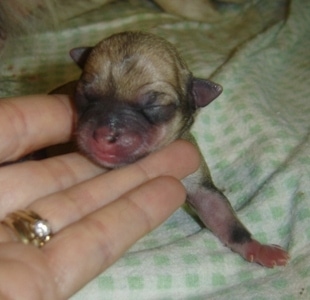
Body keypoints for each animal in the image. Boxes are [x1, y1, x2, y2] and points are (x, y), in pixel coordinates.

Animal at [52, 31, 288, 268]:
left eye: (154, 106)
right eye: (85, 95)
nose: (103, 134)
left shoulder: (196, 176)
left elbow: (221, 214)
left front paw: (258, 248)